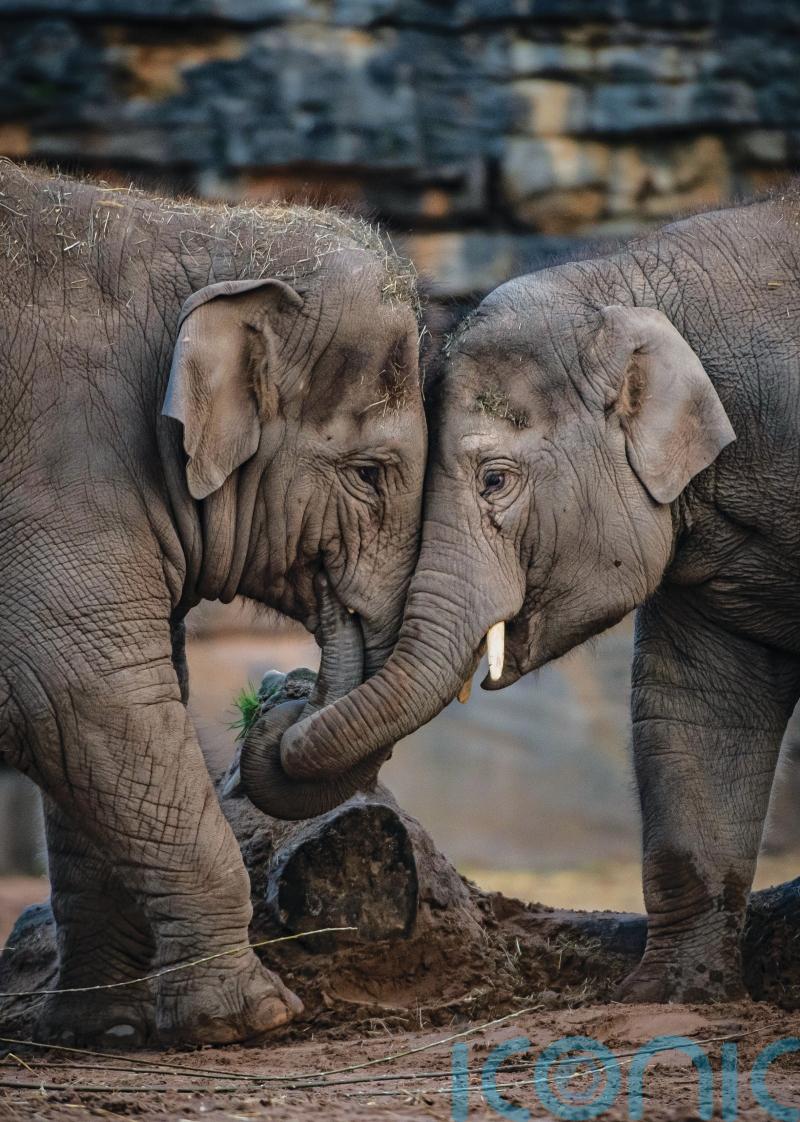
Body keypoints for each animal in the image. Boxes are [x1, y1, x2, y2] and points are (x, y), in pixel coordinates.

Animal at [0, 159, 426, 1045]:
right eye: (370, 475)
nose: (286, 687)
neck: (199, 230)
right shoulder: (59, 471)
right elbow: (81, 692)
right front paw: (251, 1019)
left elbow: (111, 703)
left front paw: (106, 1030)